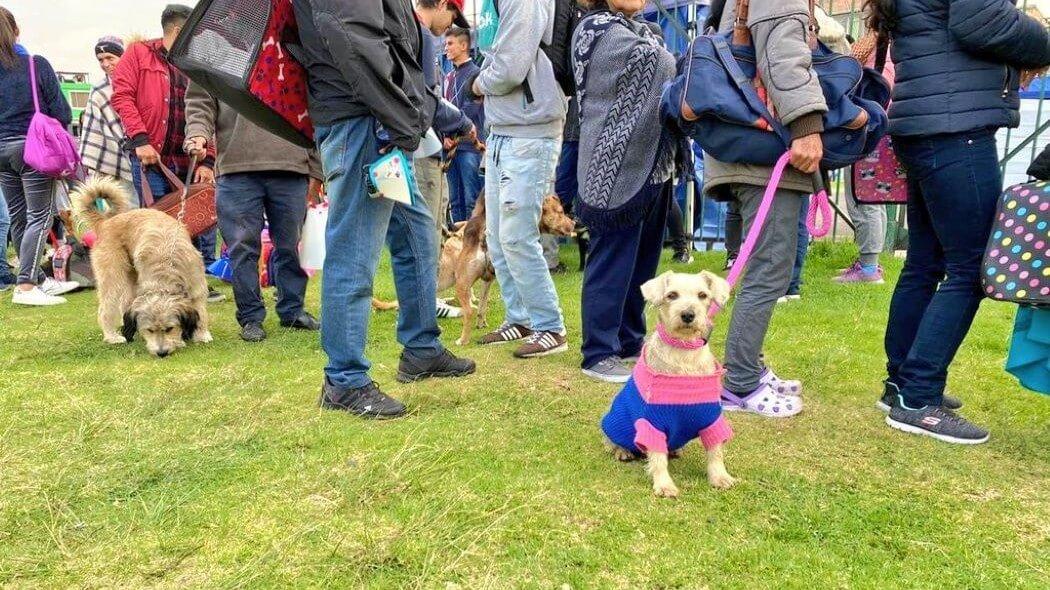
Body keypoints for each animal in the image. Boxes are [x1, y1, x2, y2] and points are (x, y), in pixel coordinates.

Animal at [440, 193, 579, 344]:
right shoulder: (488, 280)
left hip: (462, 282)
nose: (574, 224)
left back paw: (463, 340)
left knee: (470, 310)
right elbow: (483, 305)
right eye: (560, 212)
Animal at [604, 270, 734, 495]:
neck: (683, 353)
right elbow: (657, 458)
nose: (688, 315)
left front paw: (720, 476)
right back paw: (622, 451)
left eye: (703, 295)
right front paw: (664, 484)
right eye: (672, 295)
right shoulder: (651, 424)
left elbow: (716, 451)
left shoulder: (713, 420)